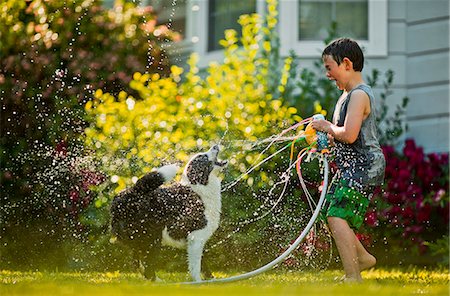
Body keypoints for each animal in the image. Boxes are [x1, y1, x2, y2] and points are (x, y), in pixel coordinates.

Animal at [109, 145, 229, 280]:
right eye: (202, 156)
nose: (215, 145)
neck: (198, 187)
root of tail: (129, 194)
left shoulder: (194, 242)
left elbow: (203, 264)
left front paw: (210, 280)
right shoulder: (196, 238)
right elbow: (195, 267)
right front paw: (199, 282)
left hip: (140, 241)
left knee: (139, 263)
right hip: (153, 238)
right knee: (148, 266)